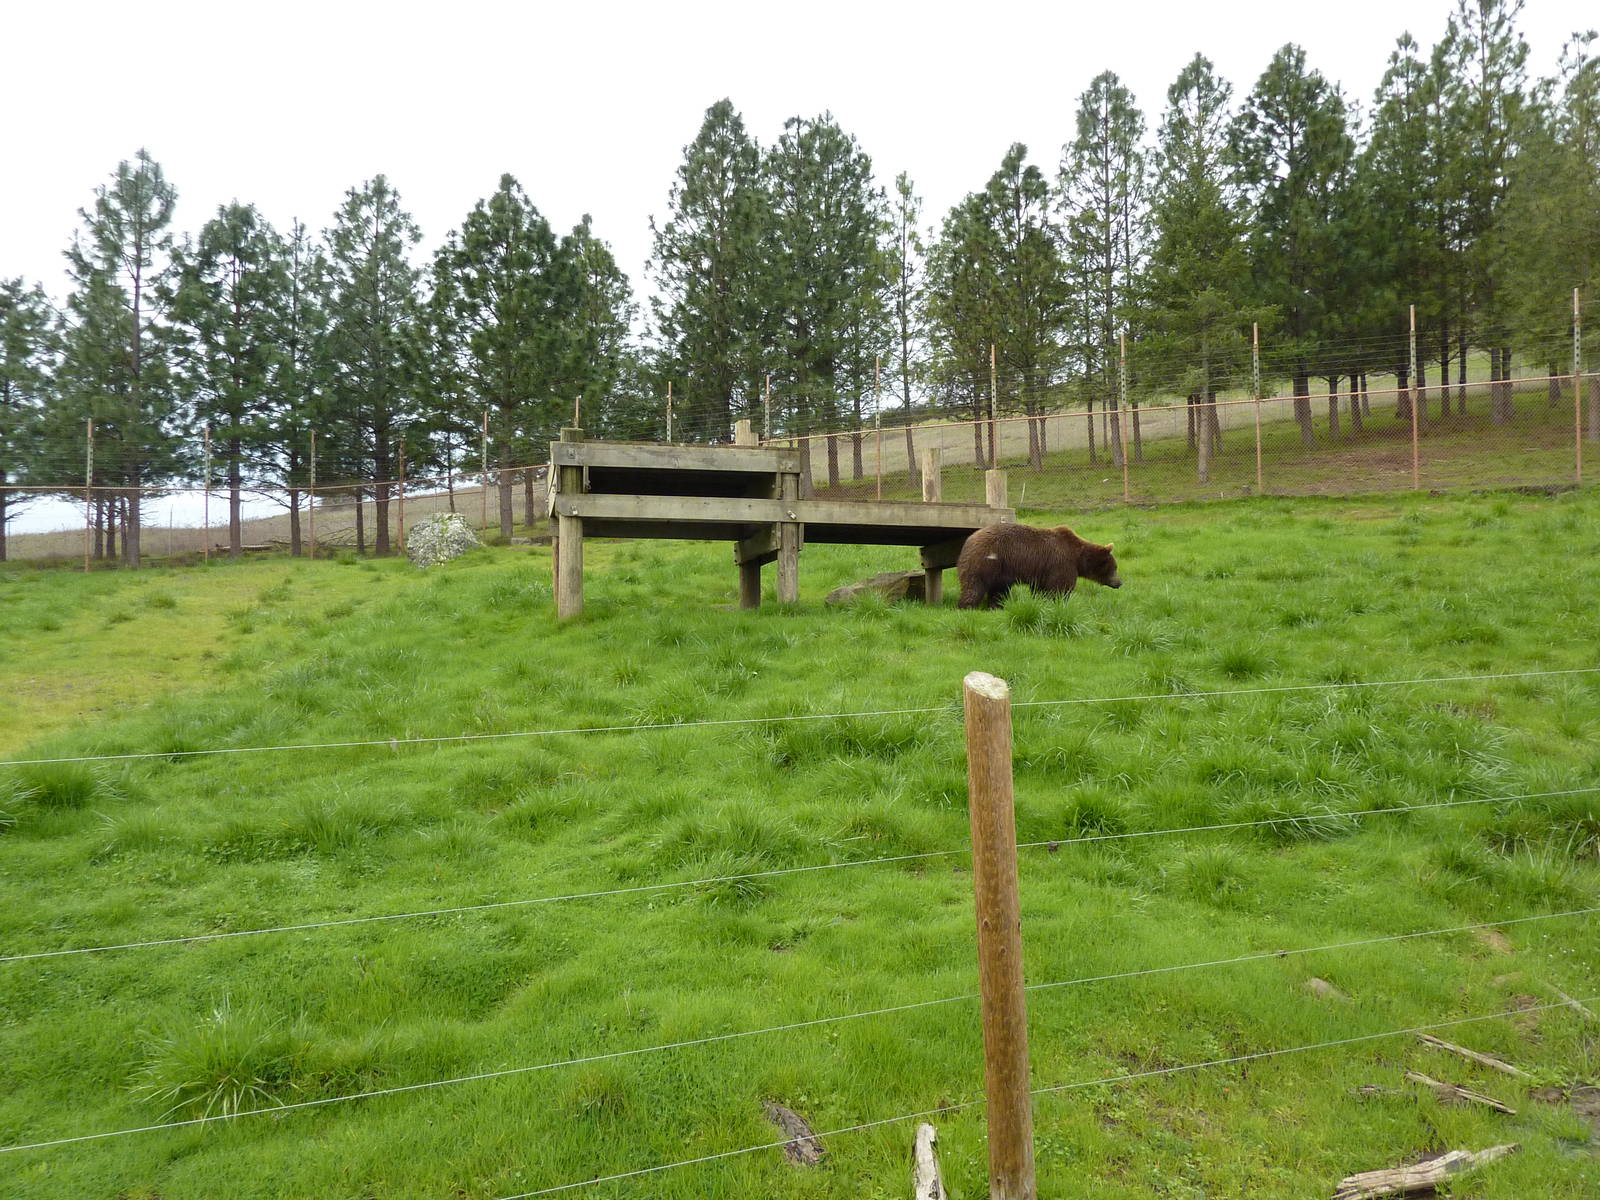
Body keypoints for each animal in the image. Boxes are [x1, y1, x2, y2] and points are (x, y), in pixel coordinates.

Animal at [955, 524, 1121, 610]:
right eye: (1115, 568)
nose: (1120, 582)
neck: (1078, 558)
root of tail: (969, 540)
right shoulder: (1062, 565)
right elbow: (1060, 588)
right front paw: (1060, 604)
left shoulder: (1043, 573)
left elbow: (1040, 590)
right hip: (985, 562)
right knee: (974, 586)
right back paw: (967, 606)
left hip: (1001, 571)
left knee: (998, 591)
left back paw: (996, 607)